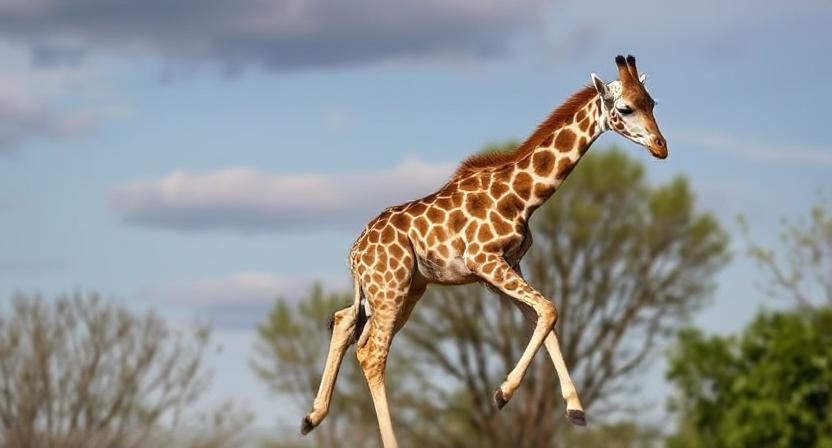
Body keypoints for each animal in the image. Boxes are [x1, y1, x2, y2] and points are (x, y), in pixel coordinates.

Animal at [301, 55, 667, 447]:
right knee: (372, 353)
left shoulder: (506, 267)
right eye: (626, 108)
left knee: (345, 321)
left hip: (403, 288)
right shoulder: (484, 261)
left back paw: (311, 417)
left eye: (652, 102)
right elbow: (550, 309)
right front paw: (503, 393)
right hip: (390, 287)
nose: (661, 146)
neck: (523, 197)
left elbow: (545, 319)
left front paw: (575, 410)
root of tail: (354, 253)